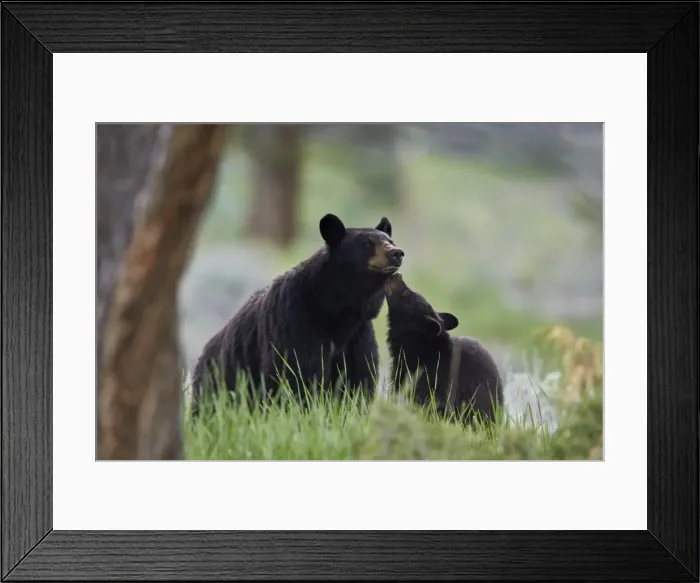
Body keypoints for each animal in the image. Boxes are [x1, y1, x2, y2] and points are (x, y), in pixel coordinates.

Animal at [189, 213, 404, 417]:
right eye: (367, 243)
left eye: (390, 240)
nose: (397, 253)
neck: (336, 309)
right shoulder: (295, 321)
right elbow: (297, 374)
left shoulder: (358, 335)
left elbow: (357, 380)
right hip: (218, 380)